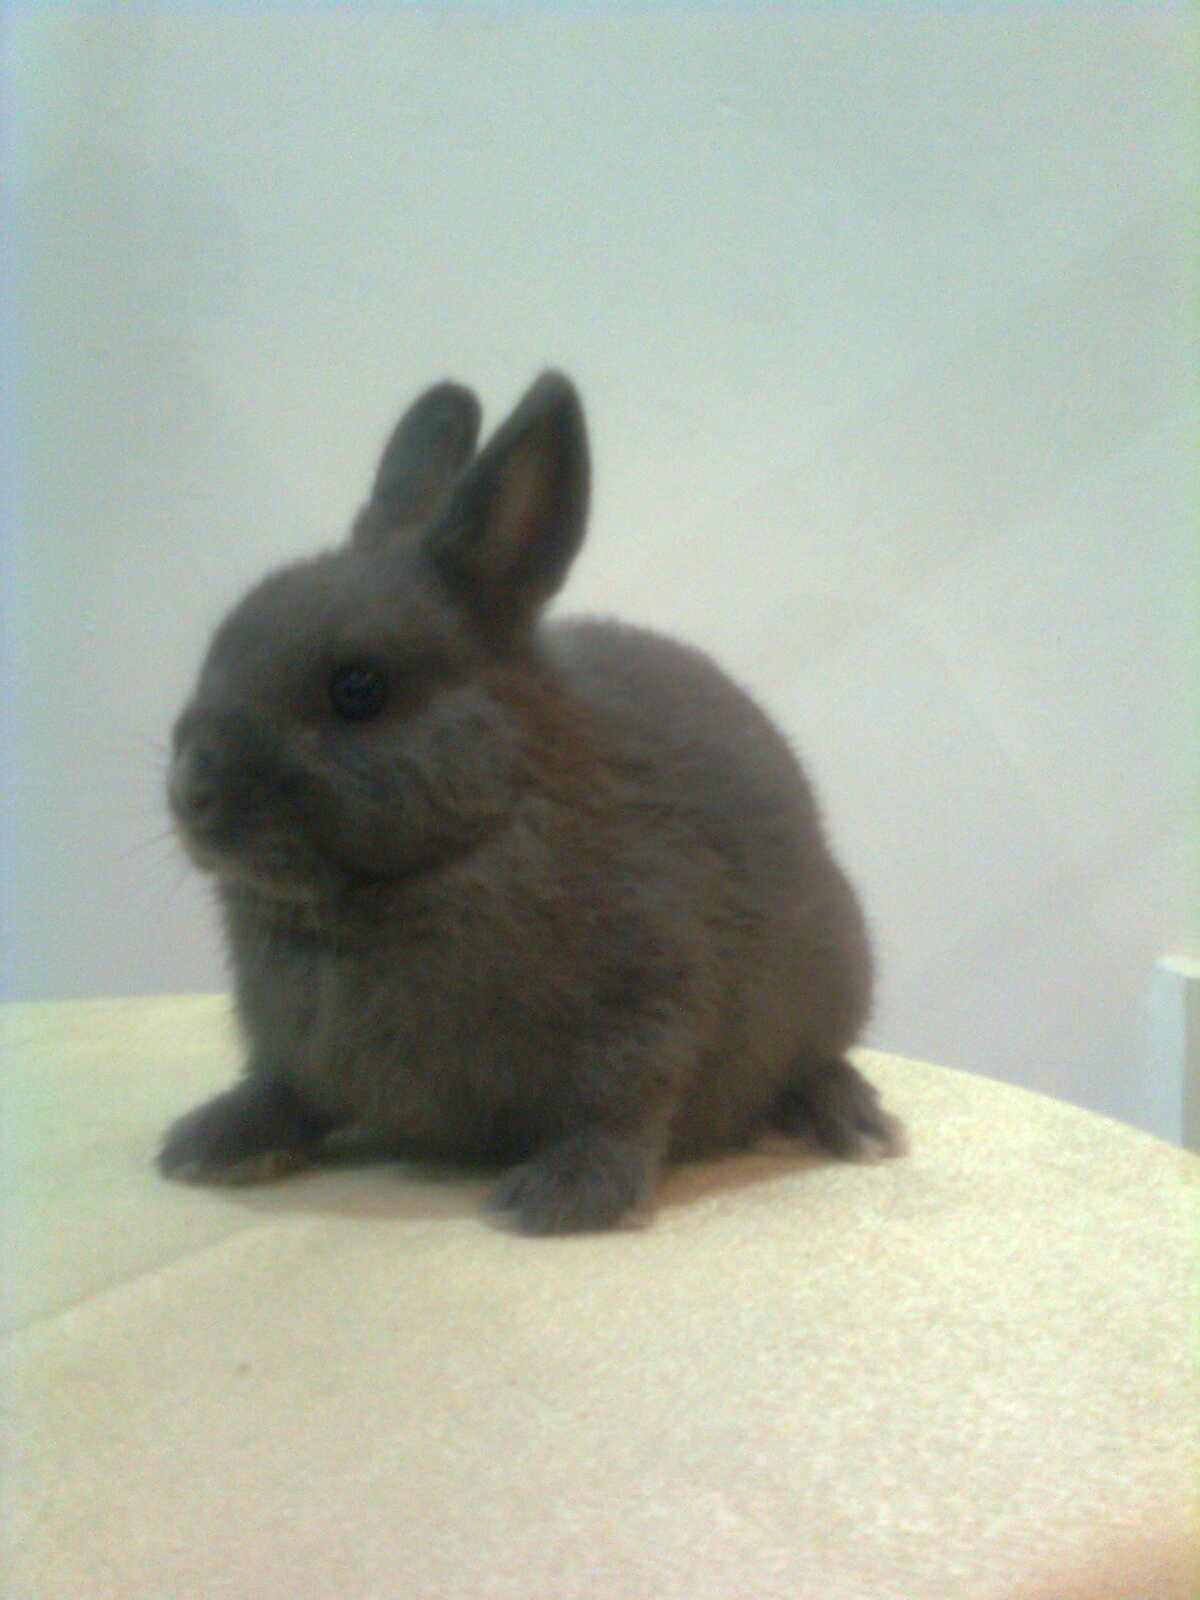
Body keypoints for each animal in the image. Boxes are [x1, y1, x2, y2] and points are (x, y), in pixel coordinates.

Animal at [160, 371, 903, 1233]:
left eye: (358, 689)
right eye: (218, 646)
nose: (192, 793)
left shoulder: (651, 1006)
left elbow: (623, 1106)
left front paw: (560, 1198)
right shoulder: (293, 1050)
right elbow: (282, 1091)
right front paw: (206, 1146)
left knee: (815, 1059)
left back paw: (857, 1124)